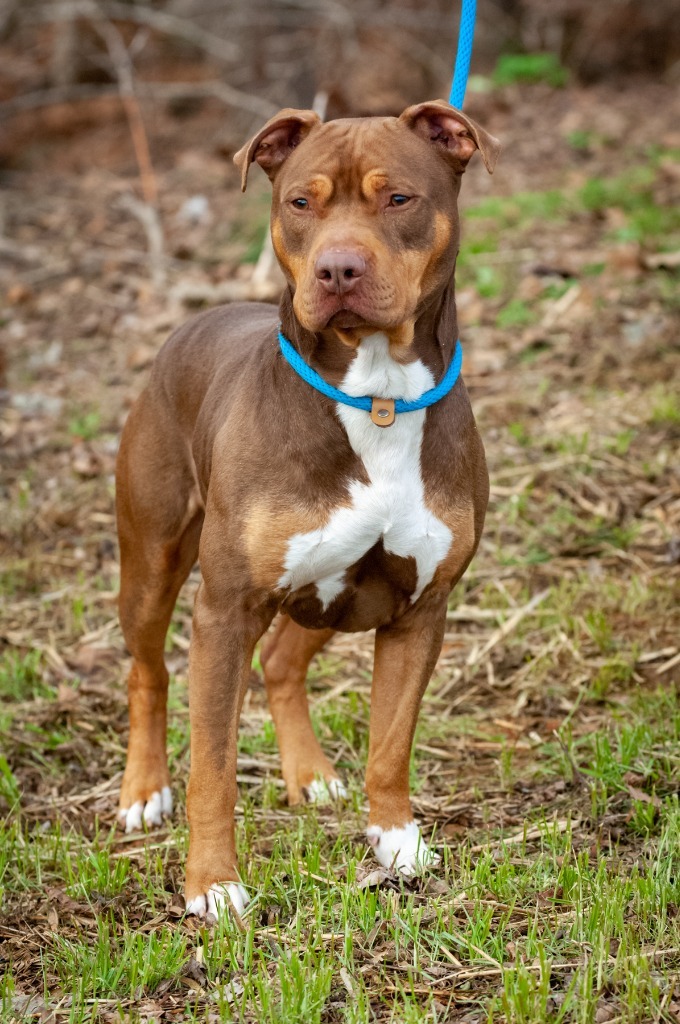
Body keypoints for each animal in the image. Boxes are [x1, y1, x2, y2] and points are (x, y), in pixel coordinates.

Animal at [115, 97, 499, 921]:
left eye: (399, 198)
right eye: (300, 202)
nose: (338, 269)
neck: (376, 394)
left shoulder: (420, 609)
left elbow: (391, 744)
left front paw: (396, 840)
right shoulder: (225, 609)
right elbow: (213, 768)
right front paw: (213, 885)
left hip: (334, 590)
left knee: (283, 661)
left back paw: (310, 774)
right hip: (154, 564)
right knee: (147, 672)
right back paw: (142, 790)